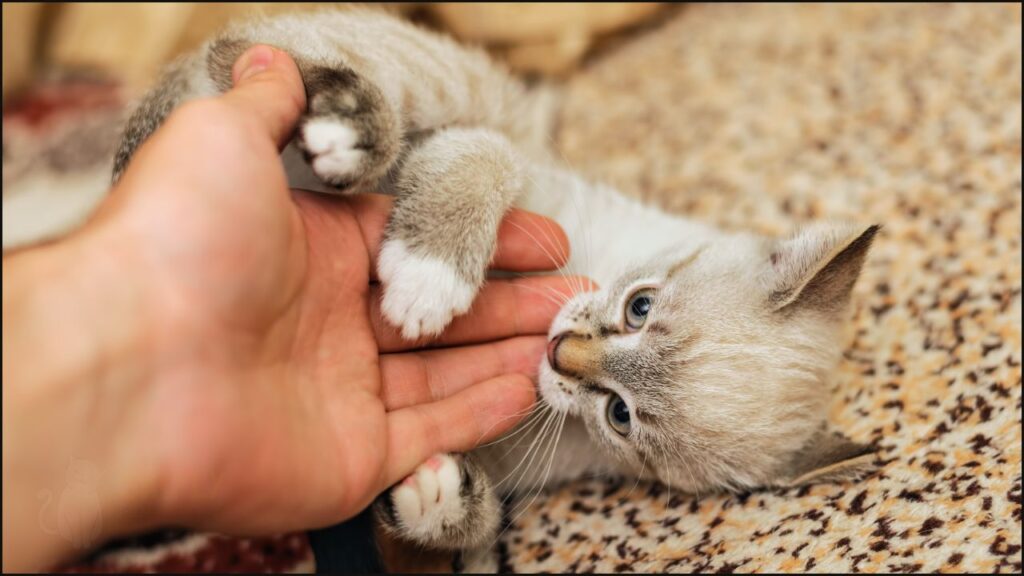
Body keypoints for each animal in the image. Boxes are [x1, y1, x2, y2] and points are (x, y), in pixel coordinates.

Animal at [112, 8, 880, 569]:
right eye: (640, 307)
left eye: (620, 416)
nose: (560, 352)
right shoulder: (521, 171)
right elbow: (490, 155)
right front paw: (429, 275)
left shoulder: (500, 452)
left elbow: (466, 519)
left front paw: (437, 498)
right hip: (420, 74)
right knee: (250, 58)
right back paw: (344, 131)